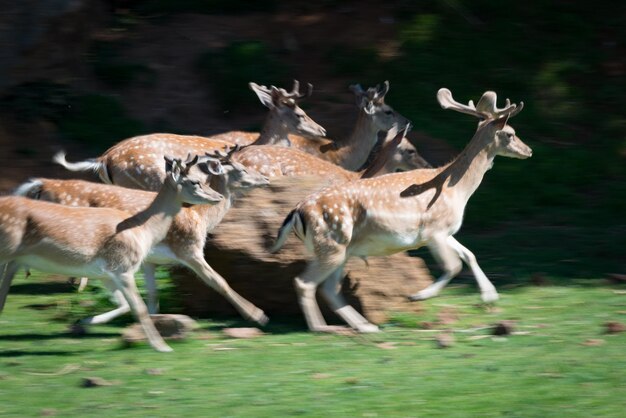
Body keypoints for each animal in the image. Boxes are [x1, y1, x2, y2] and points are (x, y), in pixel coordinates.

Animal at [0, 155, 224, 352]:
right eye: (195, 182)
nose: (219, 196)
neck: (142, 231)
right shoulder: (122, 267)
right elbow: (139, 307)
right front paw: (162, 347)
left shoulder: (106, 272)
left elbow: (127, 304)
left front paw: (83, 322)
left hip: (15, 259)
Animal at [14, 147, 268, 326]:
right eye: (242, 169)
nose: (265, 178)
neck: (200, 218)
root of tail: (43, 184)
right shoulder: (189, 249)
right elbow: (219, 282)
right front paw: (257, 315)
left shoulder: (150, 259)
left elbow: (153, 295)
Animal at [270, 88, 528, 334]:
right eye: (510, 133)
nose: (528, 150)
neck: (457, 190)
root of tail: (297, 212)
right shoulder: (433, 230)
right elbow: (453, 265)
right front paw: (417, 295)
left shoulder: (445, 232)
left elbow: (469, 255)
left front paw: (490, 296)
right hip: (331, 245)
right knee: (305, 283)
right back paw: (322, 327)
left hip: (339, 251)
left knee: (329, 288)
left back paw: (366, 326)